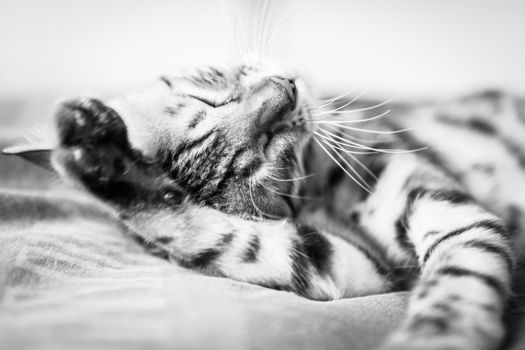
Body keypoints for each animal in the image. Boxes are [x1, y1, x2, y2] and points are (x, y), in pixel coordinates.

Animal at [17, 63, 524, 350]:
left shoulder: (446, 210)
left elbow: (457, 284)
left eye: (207, 98)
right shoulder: (348, 266)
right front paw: (110, 168)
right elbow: (224, 241)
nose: (286, 90)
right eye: (260, 157)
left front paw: (439, 335)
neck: (318, 190)